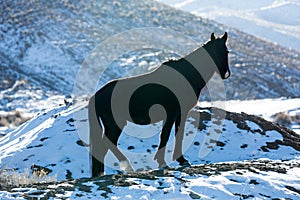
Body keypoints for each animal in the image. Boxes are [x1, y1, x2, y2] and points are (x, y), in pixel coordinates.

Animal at [88, 31, 231, 177]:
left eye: (226, 51)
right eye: (213, 51)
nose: (225, 73)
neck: (185, 77)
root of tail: (97, 95)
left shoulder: (180, 114)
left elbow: (177, 135)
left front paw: (181, 160)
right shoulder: (172, 114)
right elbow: (165, 137)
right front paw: (163, 162)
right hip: (115, 124)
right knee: (107, 145)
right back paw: (127, 166)